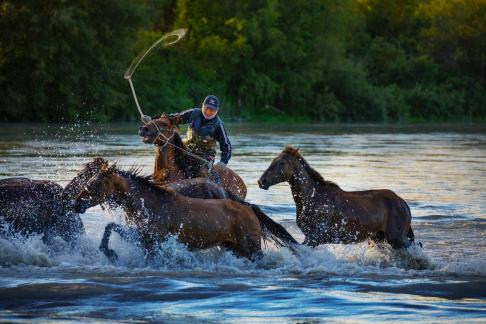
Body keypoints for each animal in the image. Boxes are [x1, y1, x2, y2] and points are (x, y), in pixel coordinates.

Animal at [72, 165, 296, 260]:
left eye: (96, 183)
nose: (75, 204)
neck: (151, 205)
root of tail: (249, 210)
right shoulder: (143, 237)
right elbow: (110, 227)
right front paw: (109, 253)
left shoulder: (154, 241)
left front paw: (110, 253)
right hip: (233, 248)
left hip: (251, 248)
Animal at [258, 146, 414, 249]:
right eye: (273, 160)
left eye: (282, 163)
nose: (261, 181)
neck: (311, 199)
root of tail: (403, 203)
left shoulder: (316, 237)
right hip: (379, 237)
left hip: (397, 239)